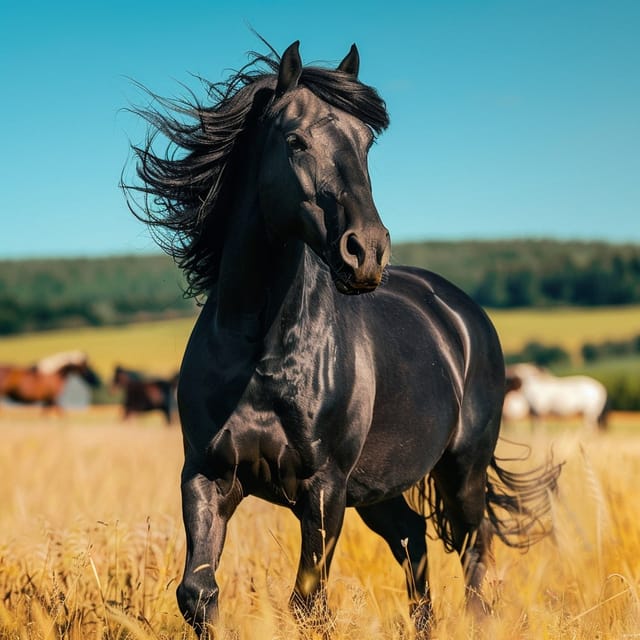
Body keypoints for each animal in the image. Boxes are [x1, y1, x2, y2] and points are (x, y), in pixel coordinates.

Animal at [126, 41, 562, 637]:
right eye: (295, 140)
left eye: (366, 142)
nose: (367, 251)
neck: (260, 353)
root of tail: (462, 313)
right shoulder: (207, 475)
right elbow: (197, 593)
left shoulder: (323, 488)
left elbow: (309, 604)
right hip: (376, 490)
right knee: (414, 538)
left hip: (462, 470)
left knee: (476, 553)